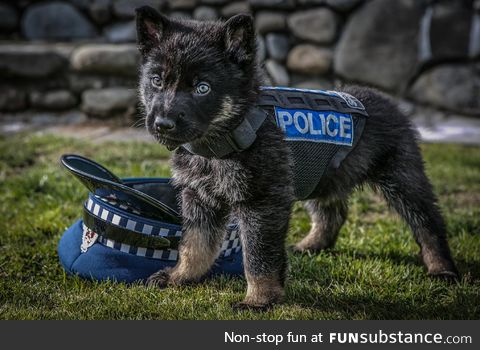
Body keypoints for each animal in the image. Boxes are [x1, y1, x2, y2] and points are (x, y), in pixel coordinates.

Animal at [134, 6, 458, 308]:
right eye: (157, 81)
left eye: (203, 88)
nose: (162, 124)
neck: (225, 135)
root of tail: (388, 101)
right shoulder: (198, 197)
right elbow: (194, 245)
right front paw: (181, 276)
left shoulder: (263, 202)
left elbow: (258, 256)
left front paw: (260, 299)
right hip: (320, 175)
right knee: (332, 213)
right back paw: (312, 244)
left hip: (402, 178)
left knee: (428, 222)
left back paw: (441, 268)